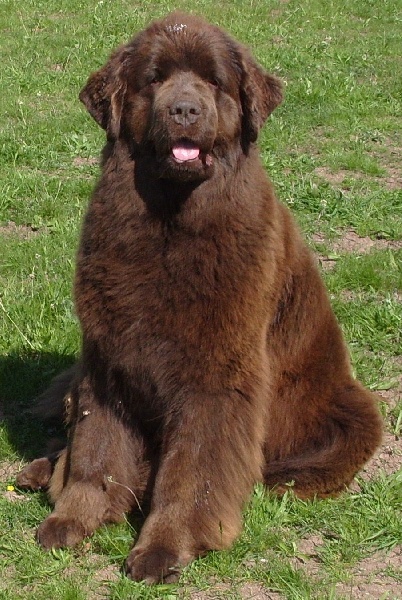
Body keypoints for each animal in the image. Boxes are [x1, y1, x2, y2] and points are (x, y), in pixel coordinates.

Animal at [17, 12, 382, 584]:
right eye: (154, 79)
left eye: (214, 81)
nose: (185, 109)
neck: (170, 223)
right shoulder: (107, 361)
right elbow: (97, 451)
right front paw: (72, 518)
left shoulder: (215, 375)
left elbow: (193, 470)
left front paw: (165, 547)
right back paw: (40, 471)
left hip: (348, 420)